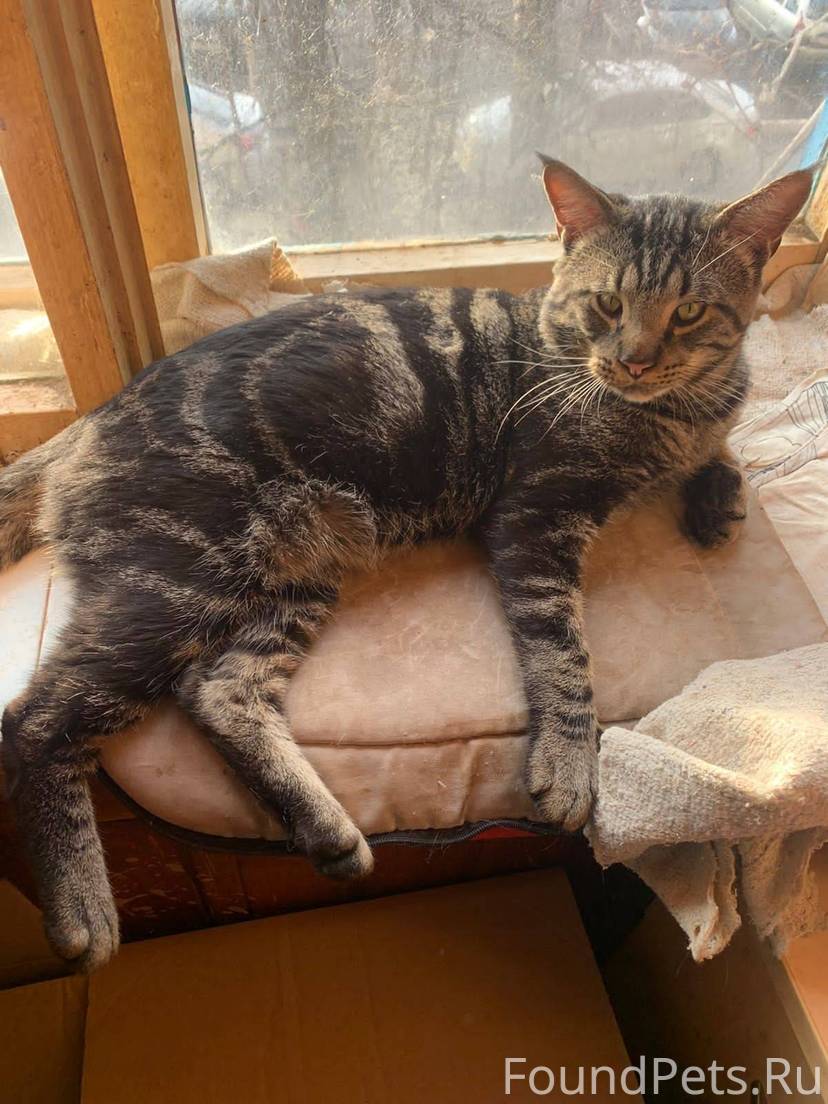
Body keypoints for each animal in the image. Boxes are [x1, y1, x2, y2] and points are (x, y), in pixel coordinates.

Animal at [0, 158, 813, 970]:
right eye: (608, 302)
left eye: (689, 312)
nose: (634, 360)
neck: (666, 414)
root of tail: (84, 424)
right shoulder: (536, 518)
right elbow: (566, 657)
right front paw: (569, 763)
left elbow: (723, 448)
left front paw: (716, 494)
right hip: (176, 583)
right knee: (36, 721)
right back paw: (81, 908)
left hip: (295, 575)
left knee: (218, 691)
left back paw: (328, 831)